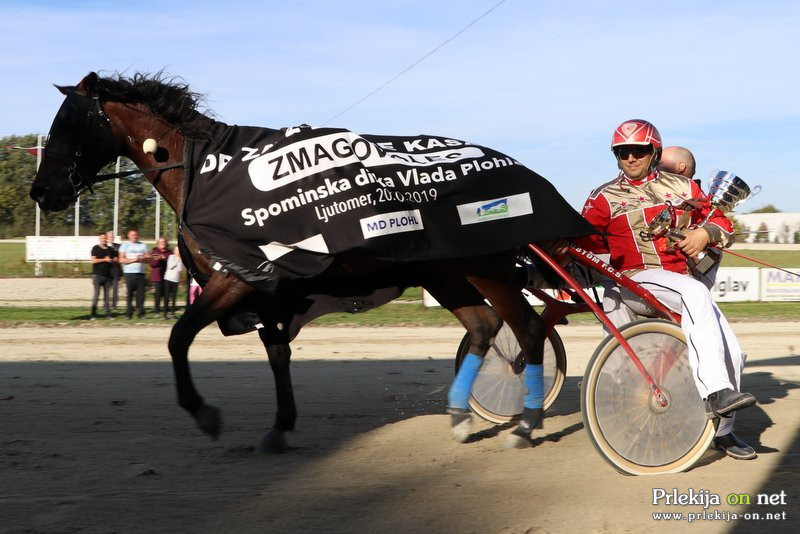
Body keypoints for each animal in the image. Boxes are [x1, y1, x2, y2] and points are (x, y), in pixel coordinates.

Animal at [29, 72, 592, 452]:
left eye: (69, 122)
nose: (41, 192)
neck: (207, 175)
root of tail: (517, 169)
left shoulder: (238, 278)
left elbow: (178, 337)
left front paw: (205, 413)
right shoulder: (267, 290)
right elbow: (277, 355)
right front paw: (279, 426)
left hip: (485, 269)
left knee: (527, 331)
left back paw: (526, 423)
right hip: (444, 272)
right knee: (483, 326)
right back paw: (460, 414)